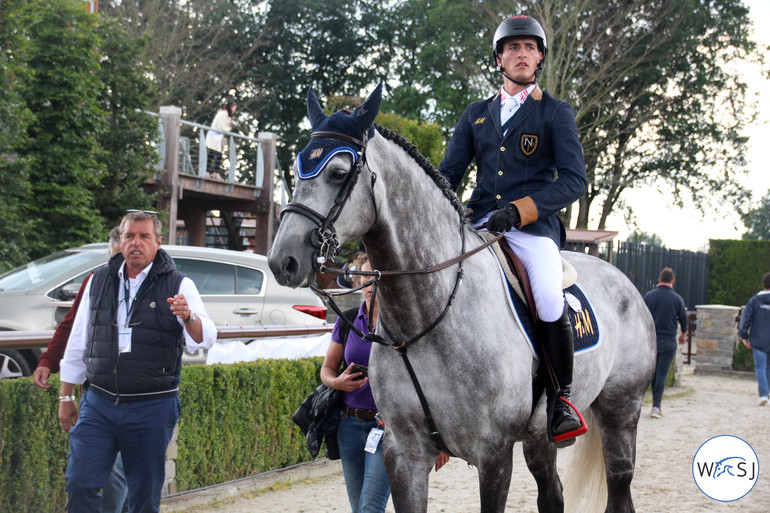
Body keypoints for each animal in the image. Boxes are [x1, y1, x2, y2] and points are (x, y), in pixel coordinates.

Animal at [268, 86, 656, 510]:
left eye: (338, 173)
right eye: (297, 168)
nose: (282, 261)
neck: (425, 319)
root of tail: (625, 280)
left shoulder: (494, 453)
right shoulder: (403, 451)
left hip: (621, 408)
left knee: (620, 483)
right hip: (541, 435)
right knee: (551, 492)